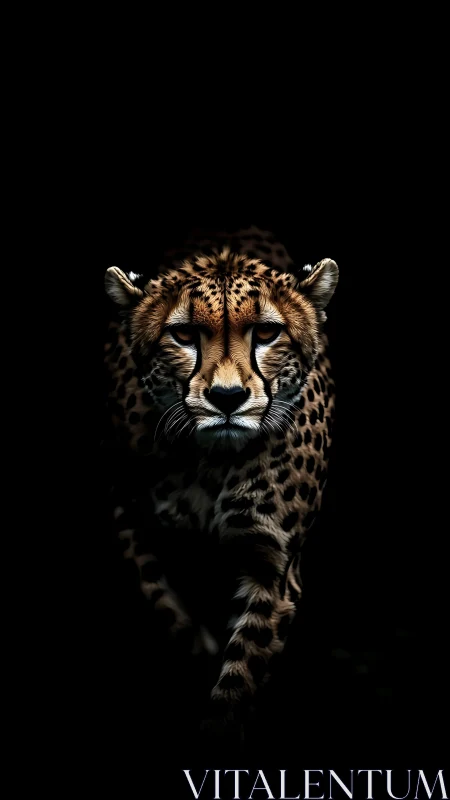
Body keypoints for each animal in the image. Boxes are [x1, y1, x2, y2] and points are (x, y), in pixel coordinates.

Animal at [102, 225, 338, 740]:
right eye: (184, 334)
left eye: (267, 333)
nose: (226, 398)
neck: (213, 460)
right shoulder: (125, 516)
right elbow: (163, 604)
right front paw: (198, 650)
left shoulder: (271, 566)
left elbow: (239, 681)